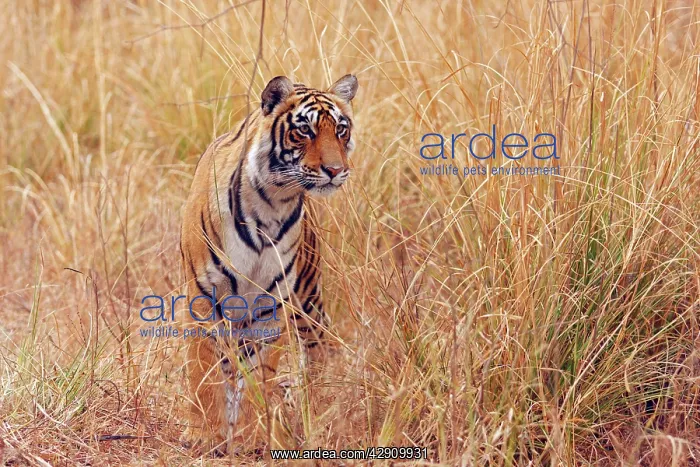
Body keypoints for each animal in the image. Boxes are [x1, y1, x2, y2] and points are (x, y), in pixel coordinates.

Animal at [179, 74, 358, 455]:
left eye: (341, 129)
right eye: (304, 130)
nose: (336, 171)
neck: (273, 203)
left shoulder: (270, 304)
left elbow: (259, 375)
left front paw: (252, 438)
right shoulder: (202, 296)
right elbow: (203, 369)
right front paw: (204, 434)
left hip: (308, 301)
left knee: (315, 355)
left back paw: (308, 412)